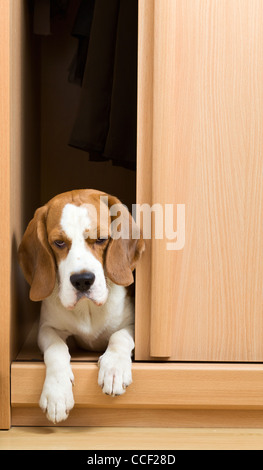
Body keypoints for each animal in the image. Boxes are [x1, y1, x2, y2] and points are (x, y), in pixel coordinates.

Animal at [18, 189, 145, 424]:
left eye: (101, 239)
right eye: (59, 243)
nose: (83, 281)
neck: (88, 309)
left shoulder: (133, 324)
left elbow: (119, 337)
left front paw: (114, 369)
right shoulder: (47, 328)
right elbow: (57, 348)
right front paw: (57, 393)